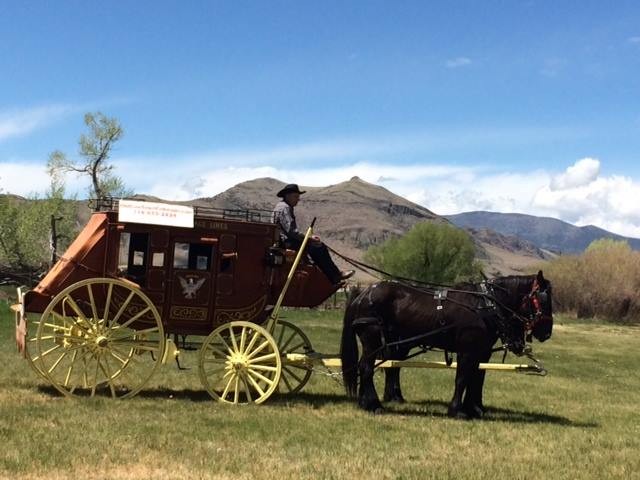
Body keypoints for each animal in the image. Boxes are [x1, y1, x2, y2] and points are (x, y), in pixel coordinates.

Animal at [340, 270, 556, 416]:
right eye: (543, 299)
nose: (546, 332)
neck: (486, 305)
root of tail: (362, 294)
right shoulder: (467, 351)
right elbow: (462, 378)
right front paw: (457, 410)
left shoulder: (481, 352)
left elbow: (477, 378)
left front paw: (474, 408)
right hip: (373, 339)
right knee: (367, 368)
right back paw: (374, 405)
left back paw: (369, 402)